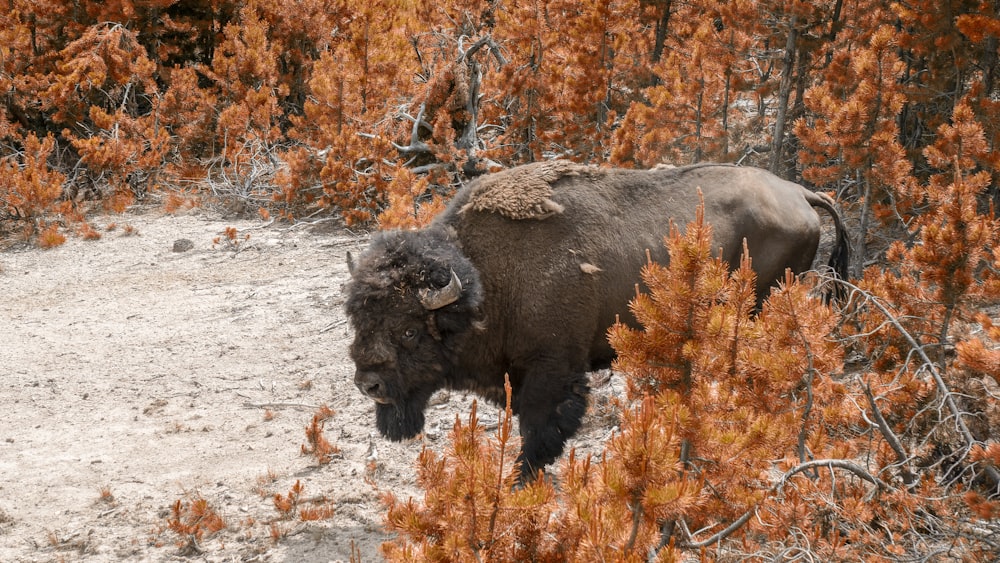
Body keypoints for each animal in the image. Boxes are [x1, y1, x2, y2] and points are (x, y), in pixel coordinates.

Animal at [348, 162, 848, 480]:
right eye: (357, 319)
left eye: (409, 329)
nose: (368, 383)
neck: (485, 281)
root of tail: (800, 192)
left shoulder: (552, 369)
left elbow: (540, 431)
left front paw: (522, 480)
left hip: (760, 305)